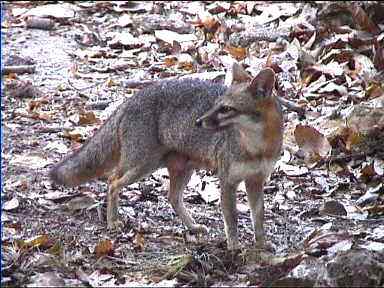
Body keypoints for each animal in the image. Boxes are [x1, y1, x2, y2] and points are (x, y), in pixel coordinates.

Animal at [50, 63, 282, 250]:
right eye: (216, 104)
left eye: (226, 109)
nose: (198, 122)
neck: (257, 148)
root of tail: (131, 99)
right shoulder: (228, 180)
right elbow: (231, 218)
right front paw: (234, 246)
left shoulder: (256, 180)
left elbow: (258, 217)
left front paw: (261, 243)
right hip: (142, 166)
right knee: (113, 181)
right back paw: (113, 220)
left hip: (182, 169)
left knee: (172, 197)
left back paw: (192, 226)